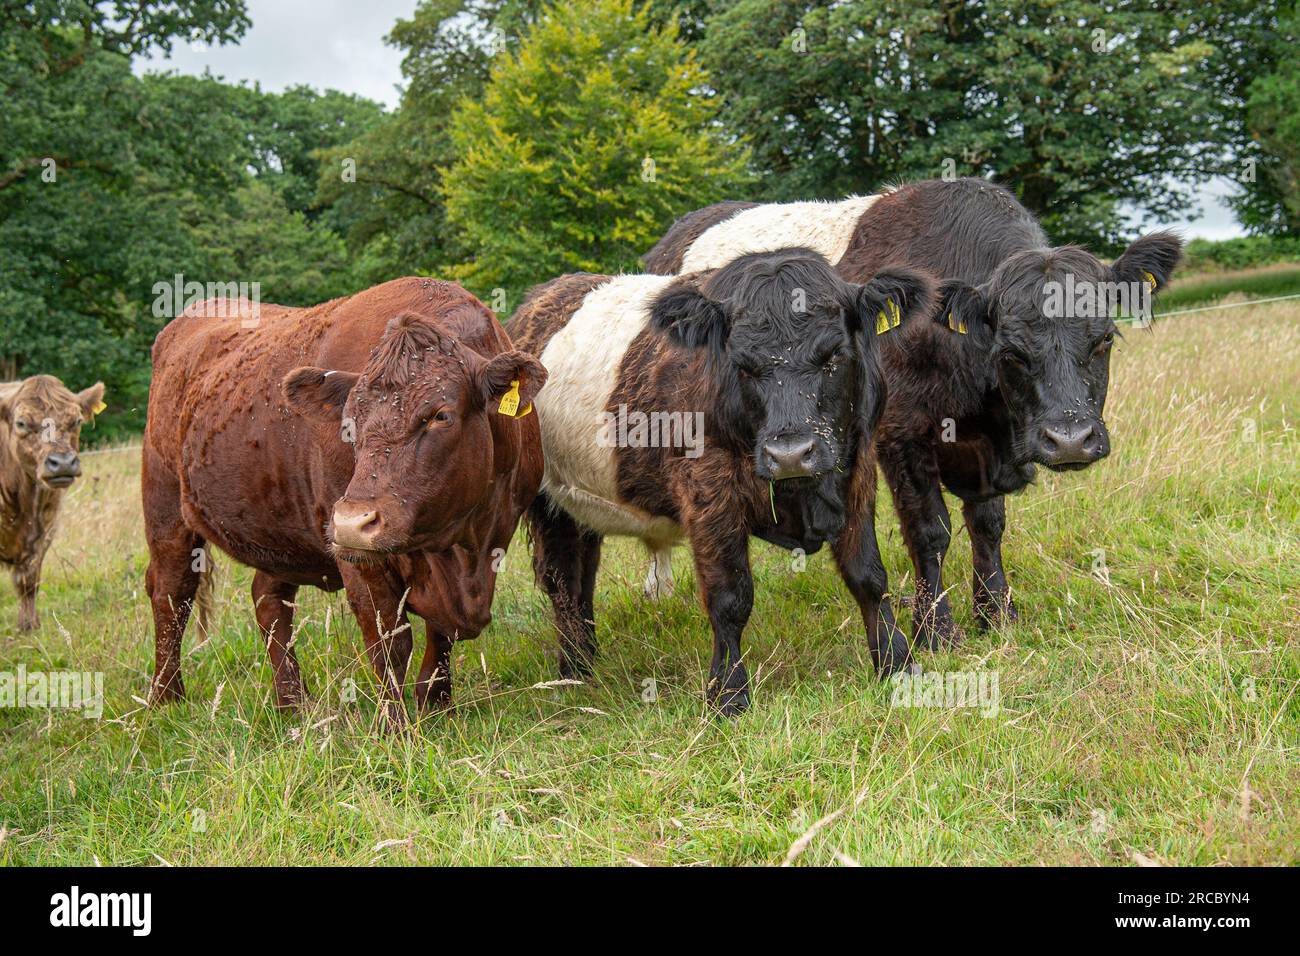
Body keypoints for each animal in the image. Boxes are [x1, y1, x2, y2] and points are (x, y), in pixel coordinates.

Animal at [0, 375, 105, 631]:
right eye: (21, 423)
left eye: (77, 420)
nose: (63, 463)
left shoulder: (46, 527)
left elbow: (29, 580)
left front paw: (29, 625)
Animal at [142, 277, 546, 728]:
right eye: (348, 421)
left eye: (440, 415)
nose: (354, 521)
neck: (464, 548)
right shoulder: (362, 561)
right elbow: (389, 641)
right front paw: (395, 727)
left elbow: (440, 634)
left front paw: (435, 702)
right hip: (165, 506)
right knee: (172, 593)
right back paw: (166, 697)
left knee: (269, 600)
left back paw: (292, 703)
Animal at [509, 248, 933, 714]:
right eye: (743, 366)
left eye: (834, 355)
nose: (790, 454)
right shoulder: (708, 493)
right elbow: (730, 597)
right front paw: (728, 694)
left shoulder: (856, 469)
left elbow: (868, 576)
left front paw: (896, 664)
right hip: (547, 500)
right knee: (562, 580)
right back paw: (573, 670)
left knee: (583, 576)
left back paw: (587, 661)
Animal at [644, 178, 1182, 650]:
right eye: (1010, 351)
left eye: (1105, 338)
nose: (1070, 439)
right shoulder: (900, 434)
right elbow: (930, 532)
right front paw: (935, 631)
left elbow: (988, 524)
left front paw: (996, 613)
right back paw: (659, 591)